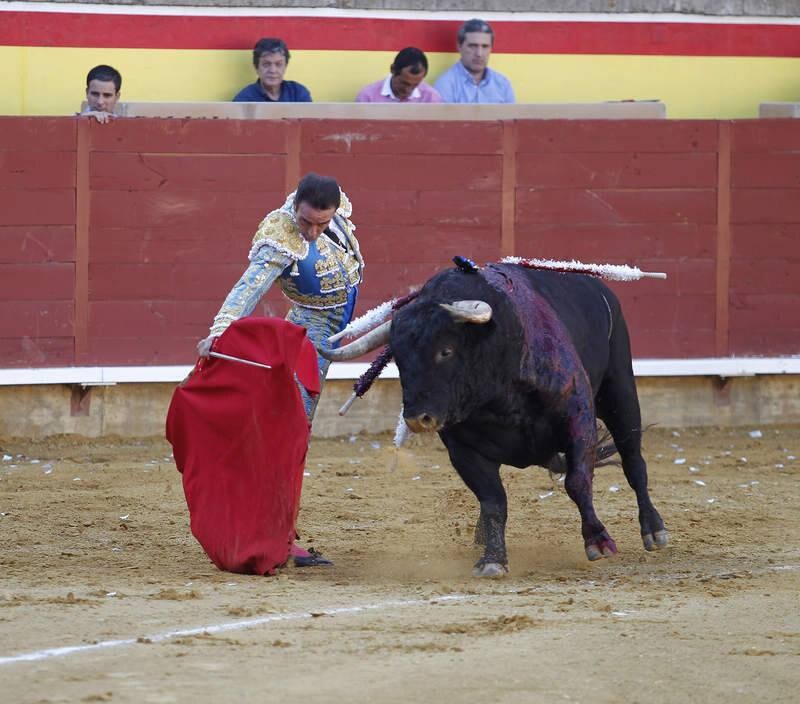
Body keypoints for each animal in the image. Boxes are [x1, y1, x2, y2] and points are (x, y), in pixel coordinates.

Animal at [324, 262, 668, 576]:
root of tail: (601, 289)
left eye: (446, 351)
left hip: (620, 390)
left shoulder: (577, 415)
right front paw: (492, 558)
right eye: (397, 358)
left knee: (633, 461)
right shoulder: (463, 449)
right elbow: (493, 501)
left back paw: (653, 530)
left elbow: (577, 481)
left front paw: (598, 541)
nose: (417, 418)